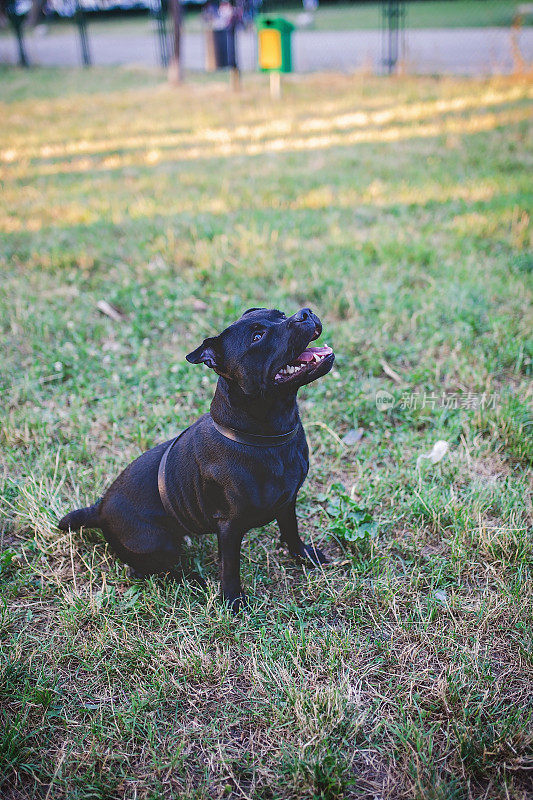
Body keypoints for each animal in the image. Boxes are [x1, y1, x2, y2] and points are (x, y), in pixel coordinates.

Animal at [58, 310, 332, 608]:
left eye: (280, 314)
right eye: (257, 337)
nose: (304, 313)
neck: (265, 435)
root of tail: (99, 509)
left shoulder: (288, 501)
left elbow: (291, 532)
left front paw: (305, 556)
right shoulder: (229, 526)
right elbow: (230, 568)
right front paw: (233, 601)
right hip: (159, 544)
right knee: (148, 571)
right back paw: (193, 580)